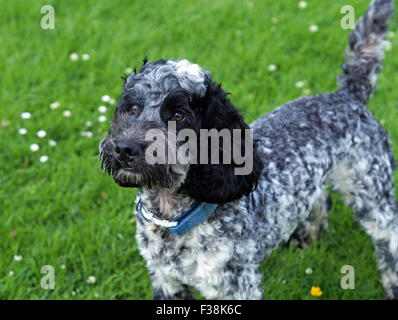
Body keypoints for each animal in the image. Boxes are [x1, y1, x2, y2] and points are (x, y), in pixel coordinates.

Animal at [99, 0, 398, 300]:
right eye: (132, 108)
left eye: (178, 115)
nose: (124, 149)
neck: (172, 218)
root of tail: (348, 95)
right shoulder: (165, 280)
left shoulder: (235, 286)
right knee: (321, 199)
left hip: (373, 194)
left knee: (390, 239)